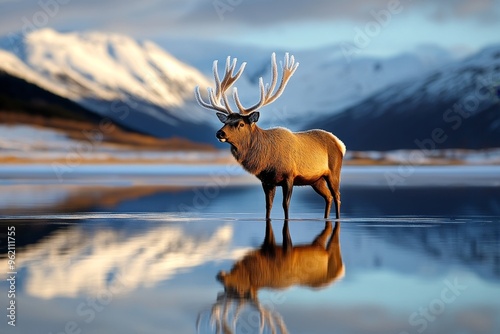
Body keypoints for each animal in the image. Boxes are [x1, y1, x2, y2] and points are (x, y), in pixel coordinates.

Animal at [193, 52, 346, 219]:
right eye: (225, 121)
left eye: (241, 124)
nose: (219, 132)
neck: (266, 159)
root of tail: (340, 144)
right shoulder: (267, 180)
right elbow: (268, 206)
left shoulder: (289, 176)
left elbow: (285, 205)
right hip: (315, 180)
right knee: (328, 196)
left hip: (334, 171)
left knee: (337, 196)